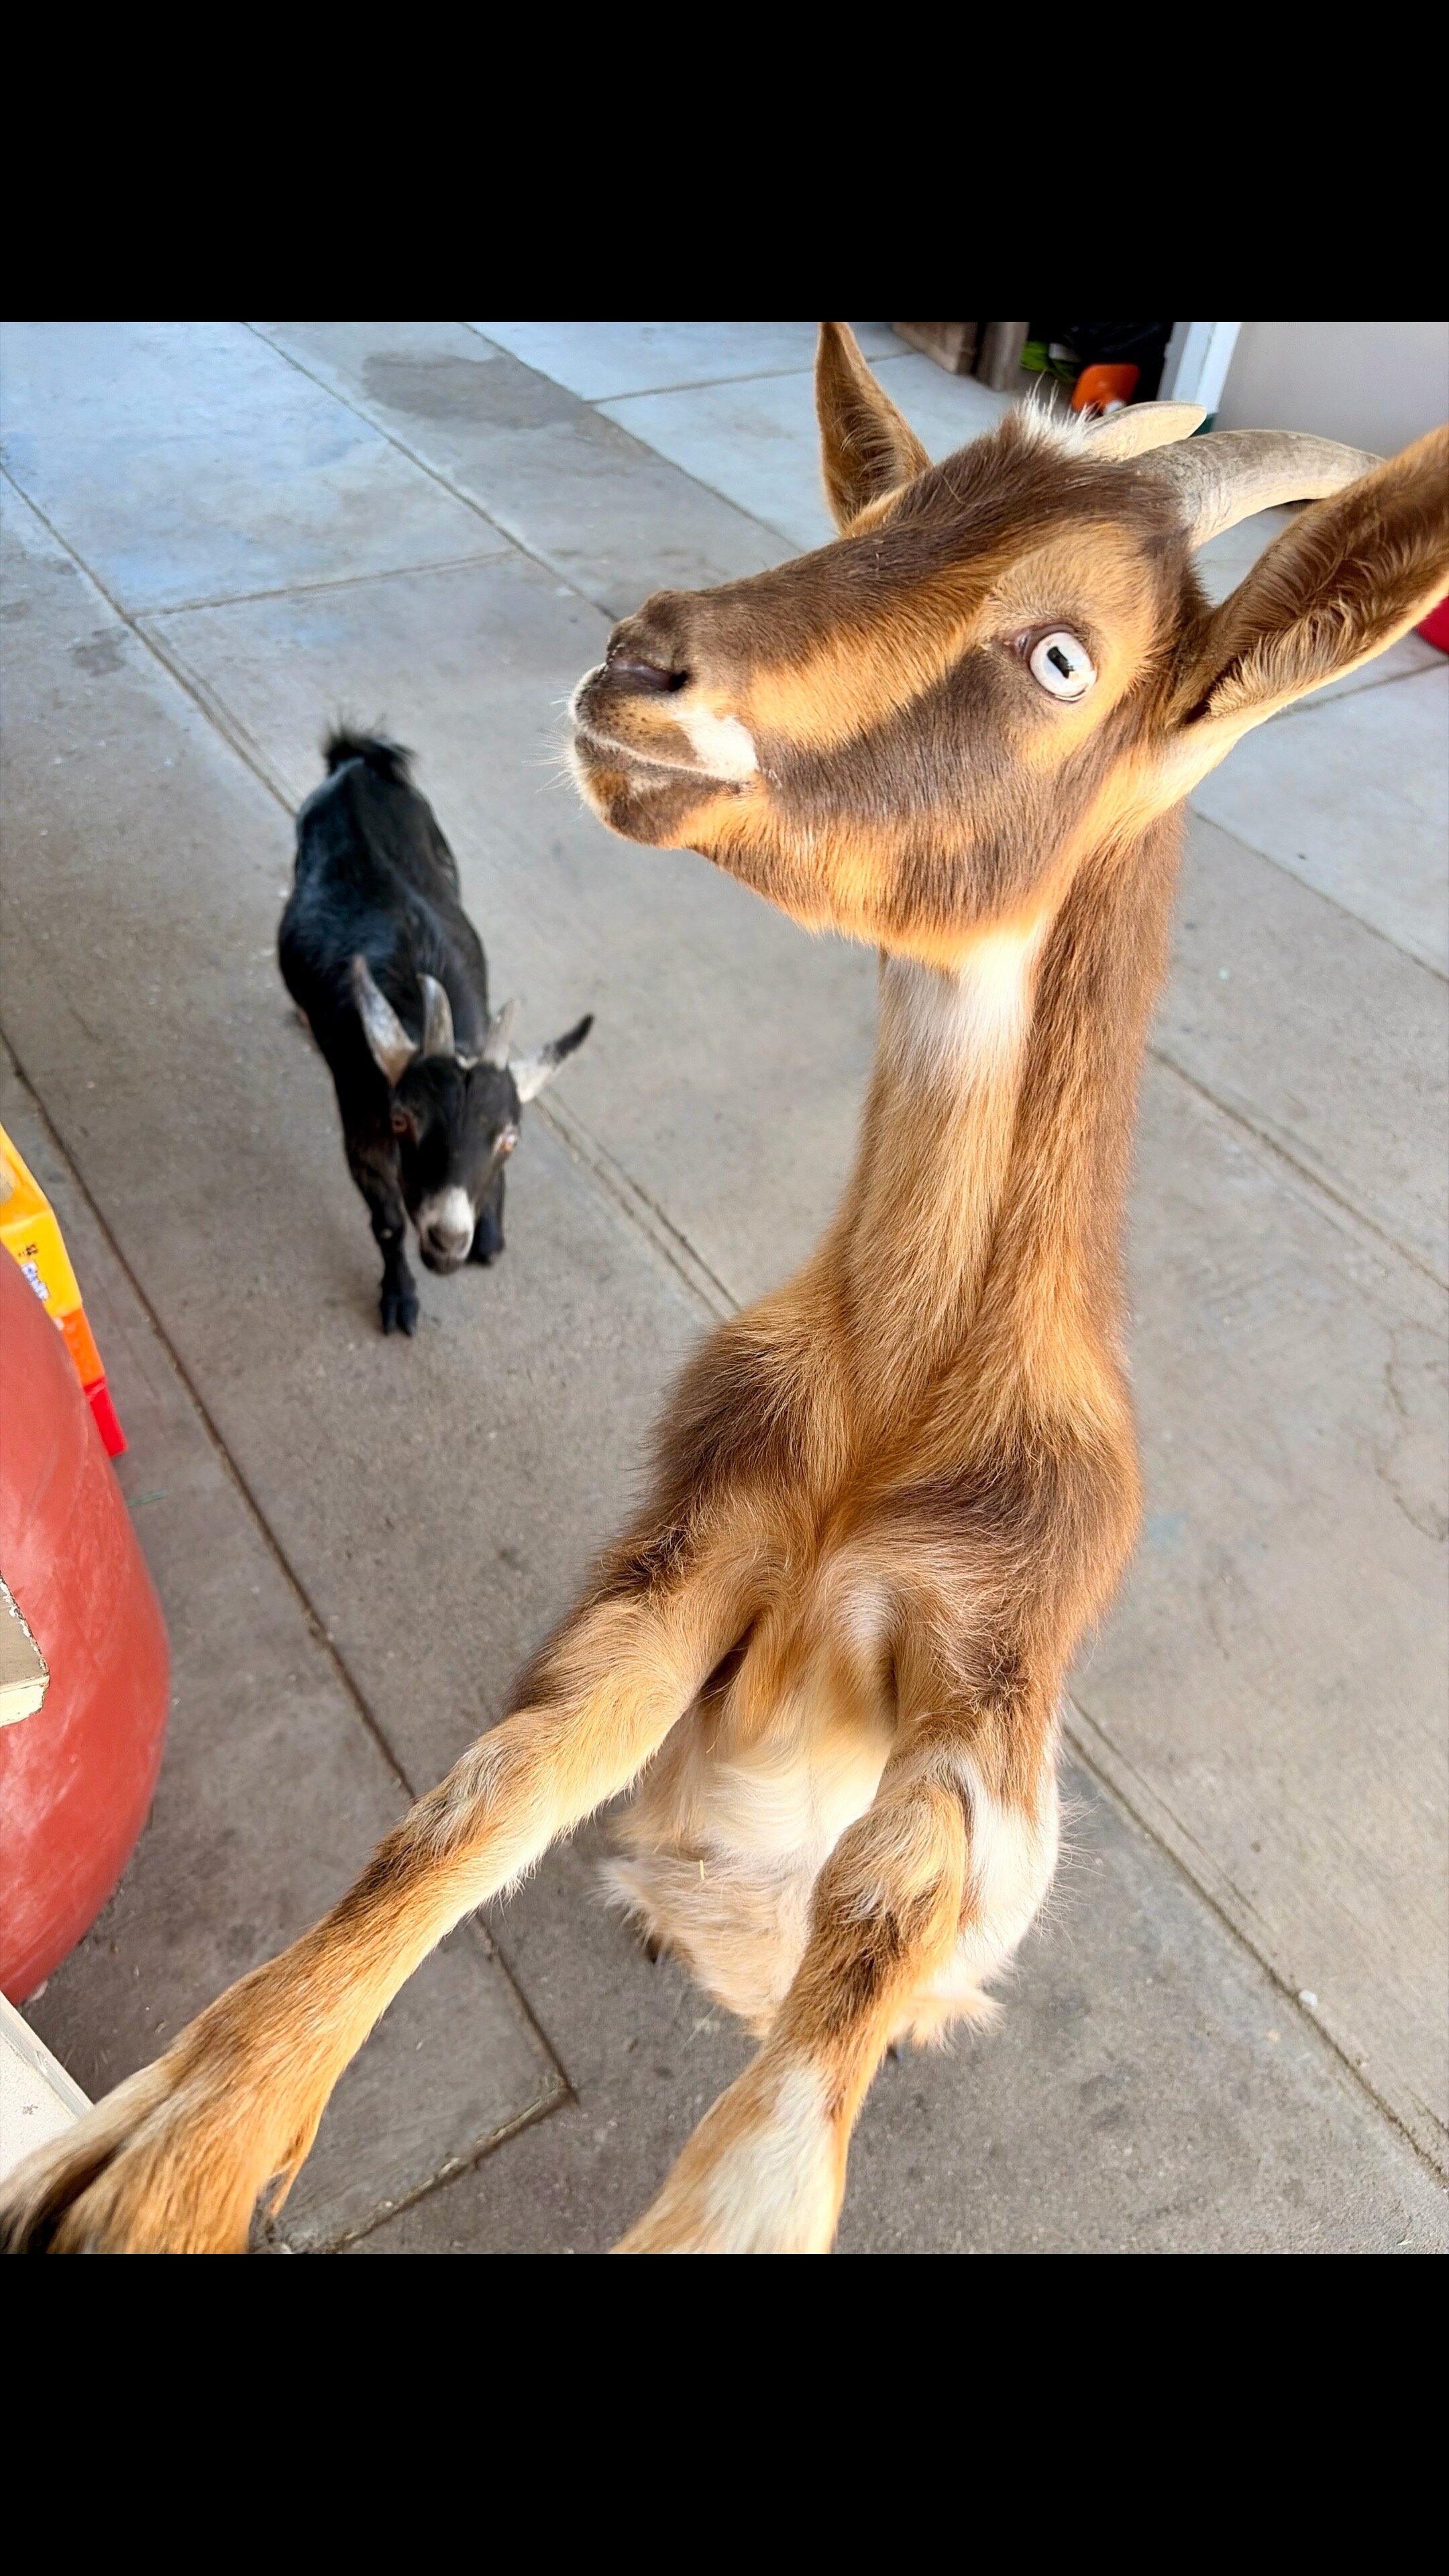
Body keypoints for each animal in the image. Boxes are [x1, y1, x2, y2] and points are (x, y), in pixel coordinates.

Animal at [280, 731, 591, 1333]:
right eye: (404, 1120)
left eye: (510, 1139)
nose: (449, 1241)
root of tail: (358, 764)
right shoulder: (364, 1128)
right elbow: (387, 1221)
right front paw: (400, 1298)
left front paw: (489, 1237)